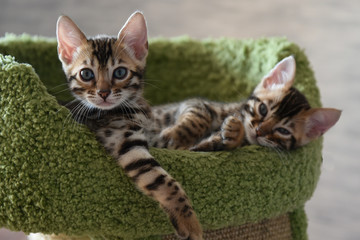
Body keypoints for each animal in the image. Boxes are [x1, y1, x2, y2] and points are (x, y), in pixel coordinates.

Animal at [28, 11, 202, 240]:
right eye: (86, 74)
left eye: (120, 73)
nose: (103, 93)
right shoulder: (125, 142)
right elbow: (163, 181)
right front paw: (189, 221)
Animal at [148, 55, 342, 151]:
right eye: (263, 109)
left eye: (283, 131)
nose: (258, 131)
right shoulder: (194, 103)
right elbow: (199, 117)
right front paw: (177, 135)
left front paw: (234, 133)